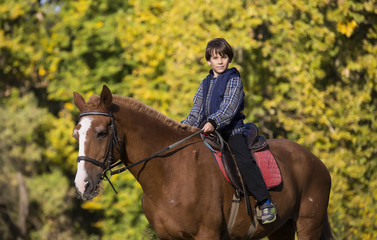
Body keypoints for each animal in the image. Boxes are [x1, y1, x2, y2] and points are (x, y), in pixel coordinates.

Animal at [72, 85, 332, 239]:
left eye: (101, 133)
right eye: (77, 134)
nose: (82, 184)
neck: (170, 173)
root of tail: (316, 162)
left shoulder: (206, 234)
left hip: (309, 225)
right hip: (282, 228)